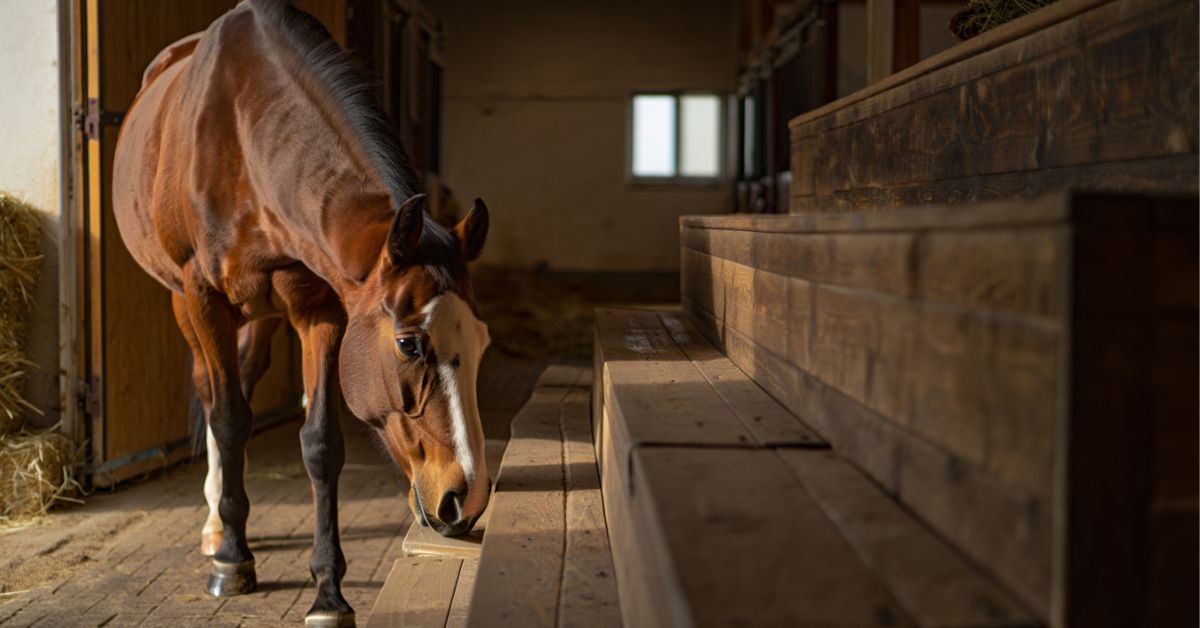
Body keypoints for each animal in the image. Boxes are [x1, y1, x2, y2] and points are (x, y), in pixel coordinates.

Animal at [111, 2, 492, 625]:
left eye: (482, 343)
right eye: (409, 343)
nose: (470, 495)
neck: (245, 135)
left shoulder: (321, 312)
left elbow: (320, 443)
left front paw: (328, 593)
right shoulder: (203, 297)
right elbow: (229, 419)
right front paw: (232, 563)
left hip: (263, 315)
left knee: (243, 377)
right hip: (184, 304)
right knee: (211, 392)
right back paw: (216, 527)